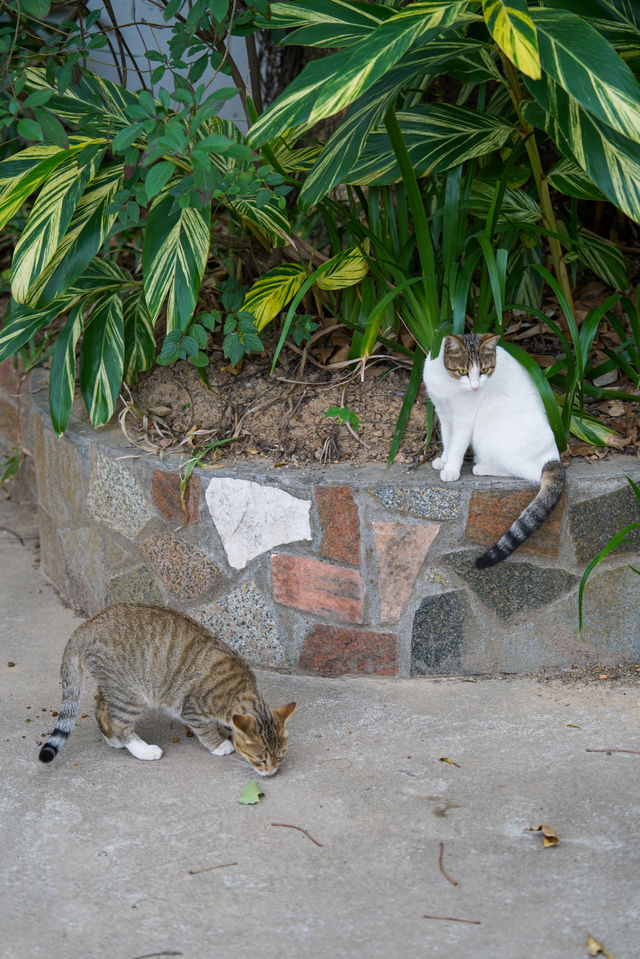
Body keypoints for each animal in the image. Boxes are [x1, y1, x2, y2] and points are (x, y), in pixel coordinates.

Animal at [41, 604, 296, 776]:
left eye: (281, 755)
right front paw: (219, 744)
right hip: (131, 695)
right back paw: (142, 749)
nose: (271, 772)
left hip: (114, 687)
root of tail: (88, 624)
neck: (239, 690)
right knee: (119, 723)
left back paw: (113, 740)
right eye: (260, 760)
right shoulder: (192, 710)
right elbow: (206, 730)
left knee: (101, 710)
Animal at [424, 332, 564, 568]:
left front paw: (451, 468)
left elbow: (457, 445)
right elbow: (447, 438)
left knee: (525, 472)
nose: (474, 387)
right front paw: (443, 460)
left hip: (489, 428)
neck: (449, 384)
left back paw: (482, 467)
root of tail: (554, 457)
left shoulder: (464, 418)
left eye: (484, 370)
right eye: (463, 371)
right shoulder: (442, 411)